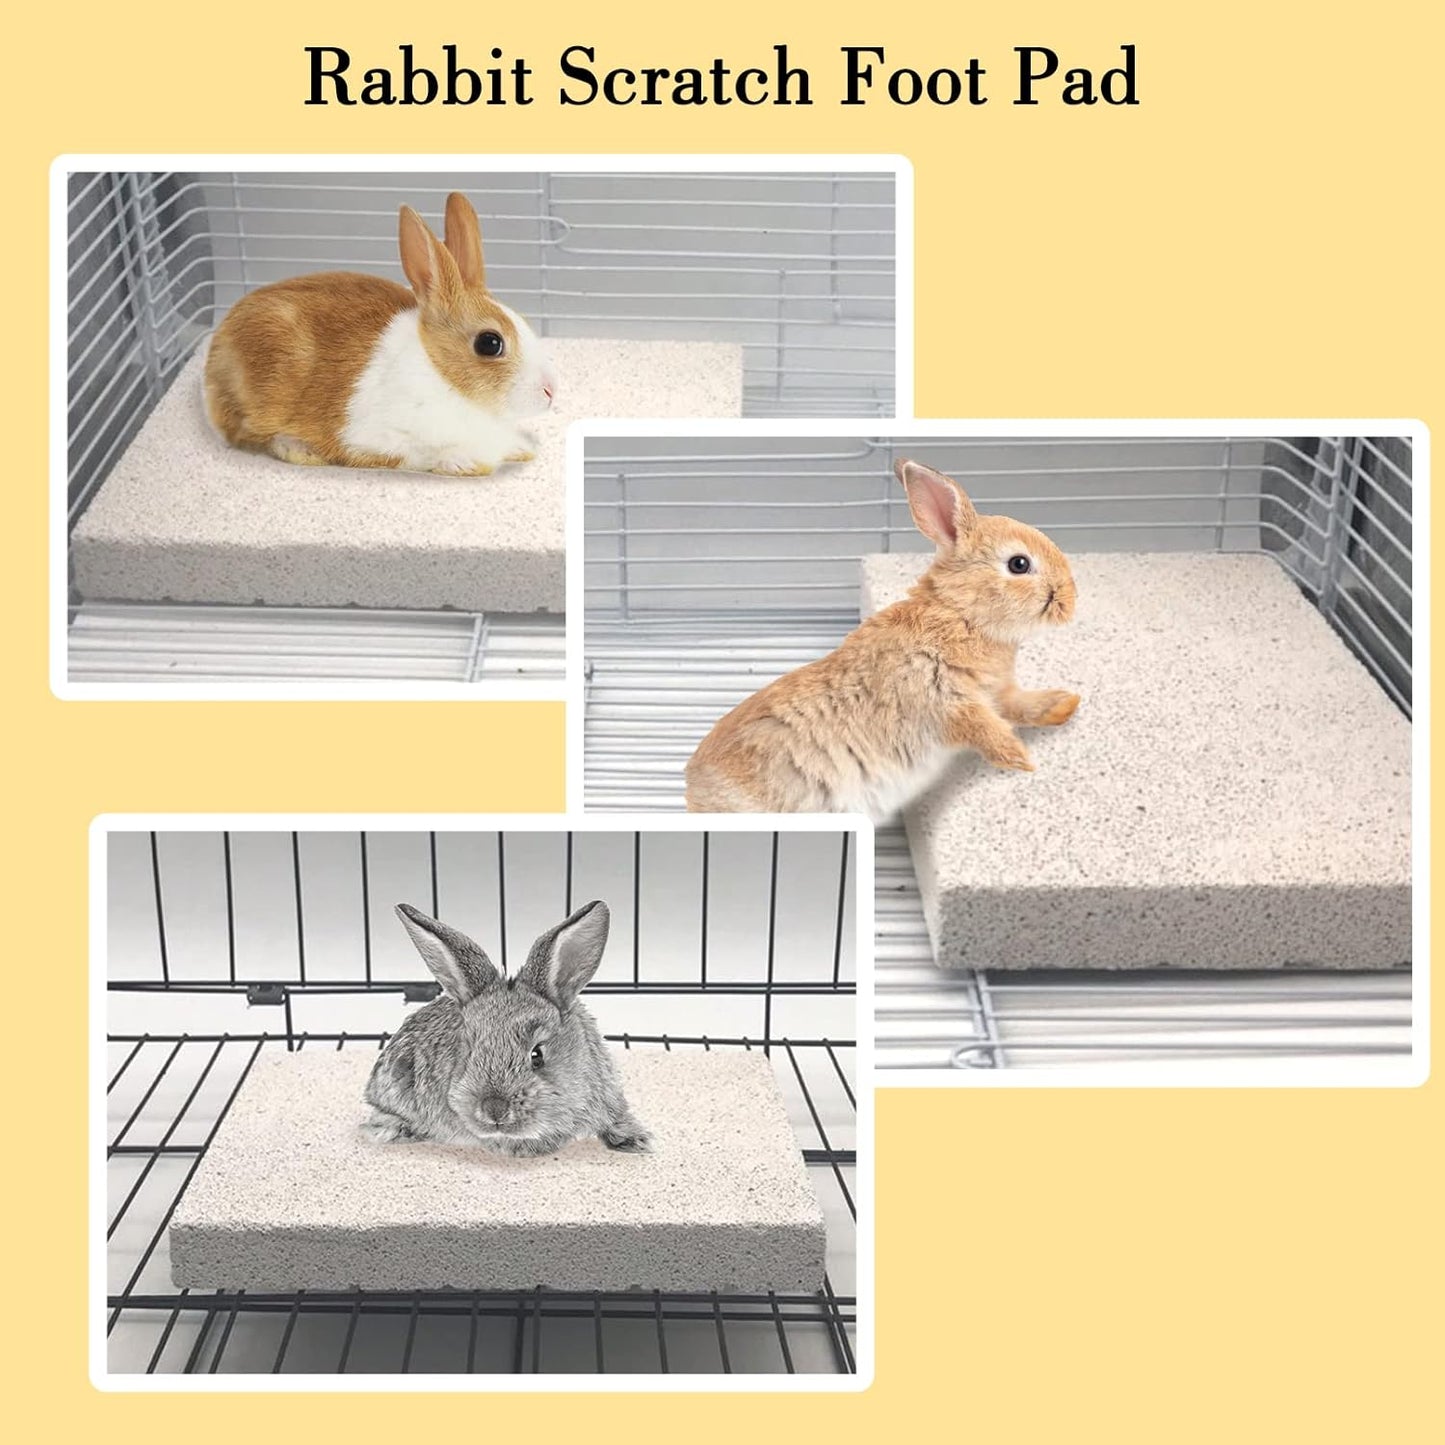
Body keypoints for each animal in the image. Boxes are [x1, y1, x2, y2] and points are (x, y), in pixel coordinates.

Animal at [204, 191, 557, 476]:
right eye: (489, 343)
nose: (551, 391)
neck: (440, 373)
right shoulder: (372, 439)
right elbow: (416, 455)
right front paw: (463, 463)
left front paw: (521, 449)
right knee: (247, 436)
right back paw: (301, 450)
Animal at [684, 458, 1080, 818]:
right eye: (1019, 564)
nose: (1070, 600)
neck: (960, 615)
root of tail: (692, 791)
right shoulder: (941, 696)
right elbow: (984, 729)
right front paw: (1022, 759)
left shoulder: (997, 693)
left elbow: (1020, 705)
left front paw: (1063, 704)